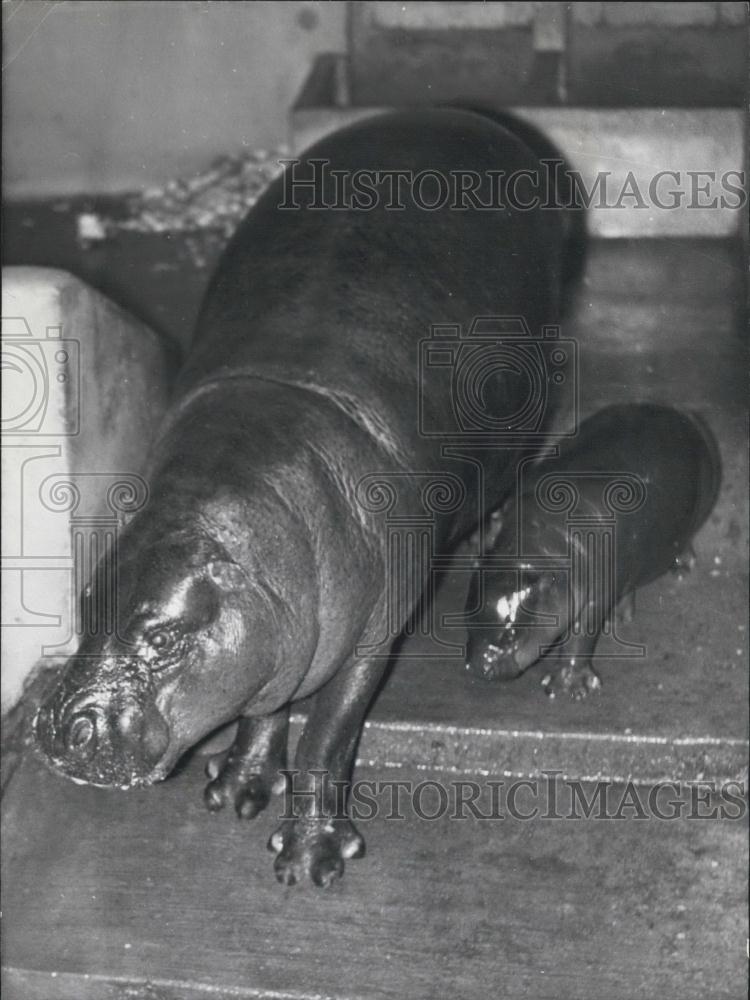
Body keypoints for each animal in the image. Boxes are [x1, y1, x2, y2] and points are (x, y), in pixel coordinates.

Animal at [464, 402, 724, 700]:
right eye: (467, 619)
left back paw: (680, 568)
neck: (534, 551)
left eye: (510, 635)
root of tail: (684, 415)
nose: (478, 667)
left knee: (685, 541)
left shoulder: (594, 596)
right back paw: (617, 619)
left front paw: (567, 687)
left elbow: (581, 636)